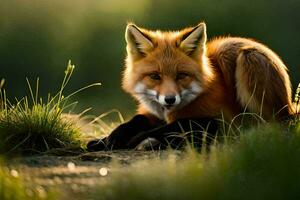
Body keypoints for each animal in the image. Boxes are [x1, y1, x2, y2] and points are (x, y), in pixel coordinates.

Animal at [122, 21, 296, 122]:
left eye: (181, 75)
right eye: (155, 76)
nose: (170, 99)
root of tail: (289, 104)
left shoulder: (221, 118)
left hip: (245, 56)